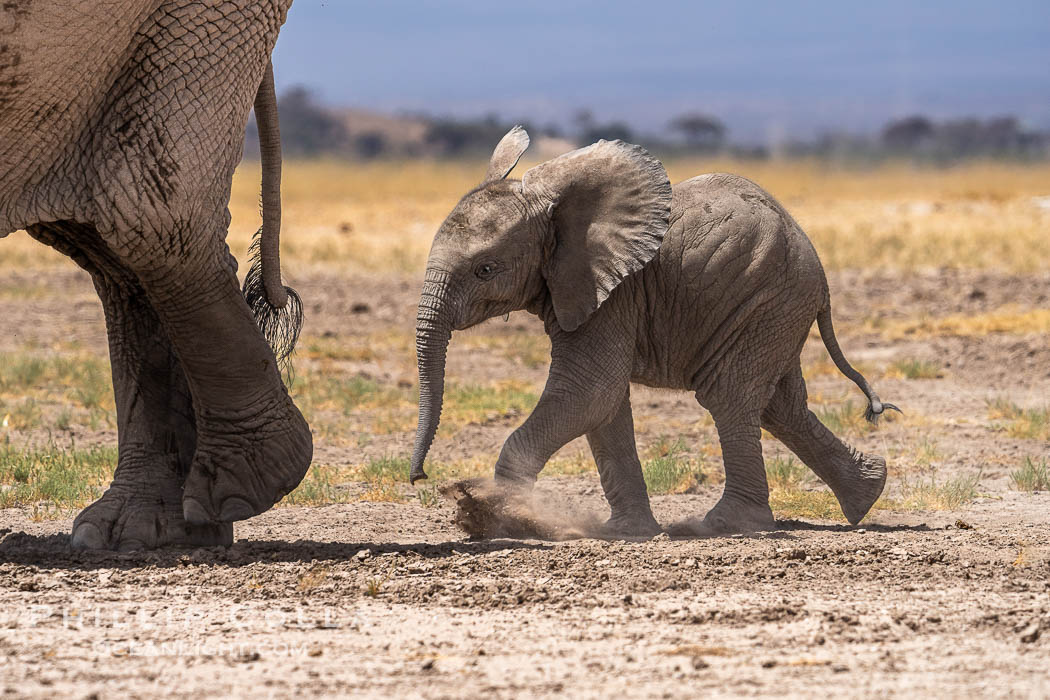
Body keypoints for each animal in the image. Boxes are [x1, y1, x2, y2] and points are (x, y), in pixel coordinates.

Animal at [409, 127, 898, 535]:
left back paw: (721, 525)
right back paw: (866, 495)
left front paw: (495, 515)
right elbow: (604, 405)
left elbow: (590, 392)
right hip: (772, 310)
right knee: (780, 406)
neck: (553, 209)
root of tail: (821, 272)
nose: (419, 476)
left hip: (768, 302)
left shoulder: (612, 293)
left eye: (485, 270)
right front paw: (626, 532)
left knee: (729, 396)